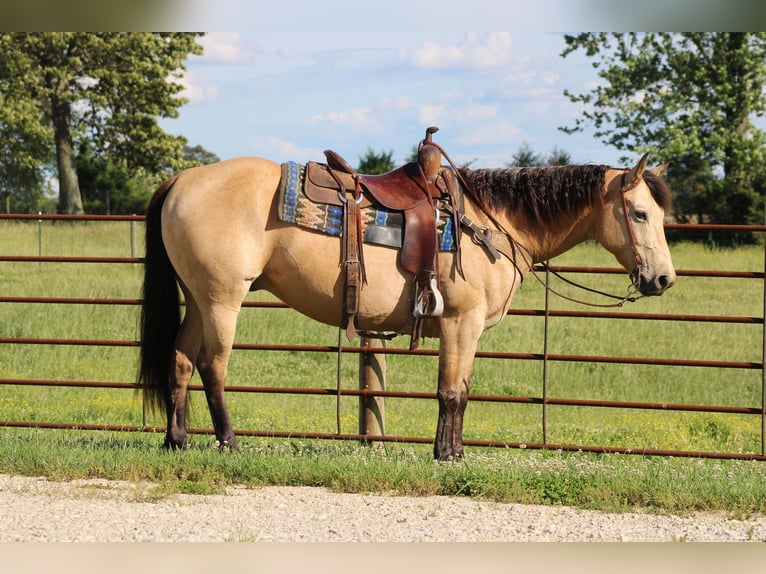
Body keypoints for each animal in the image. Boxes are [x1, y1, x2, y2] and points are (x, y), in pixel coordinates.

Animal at [138, 149, 675, 460]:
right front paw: (447, 455)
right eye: (640, 213)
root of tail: (182, 179)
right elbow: (452, 392)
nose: (664, 278)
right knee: (213, 365)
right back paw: (228, 442)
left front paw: (453, 451)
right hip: (221, 298)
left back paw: (176, 441)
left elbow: (462, 391)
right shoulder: (461, 323)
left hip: (196, 297)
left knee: (180, 359)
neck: (490, 223)